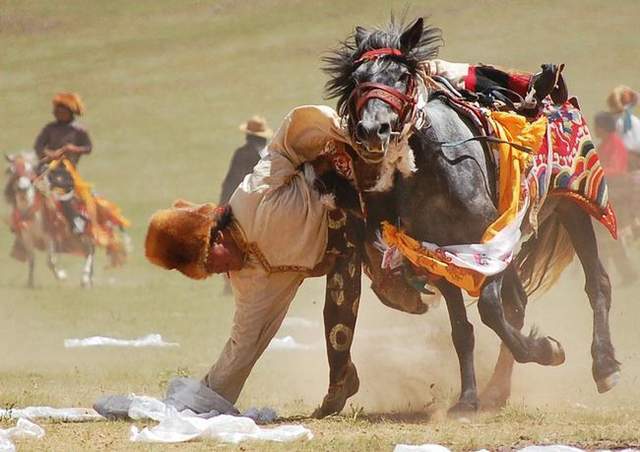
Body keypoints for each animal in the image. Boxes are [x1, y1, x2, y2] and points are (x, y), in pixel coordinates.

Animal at [320, 16, 620, 414]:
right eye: (357, 79)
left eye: (402, 76)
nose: (372, 130)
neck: (437, 170)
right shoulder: (441, 256)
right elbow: (463, 330)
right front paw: (468, 399)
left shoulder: (486, 243)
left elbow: (490, 310)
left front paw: (548, 350)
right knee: (518, 305)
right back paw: (497, 390)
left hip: (573, 207)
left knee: (596, 283)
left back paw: (605, 367)